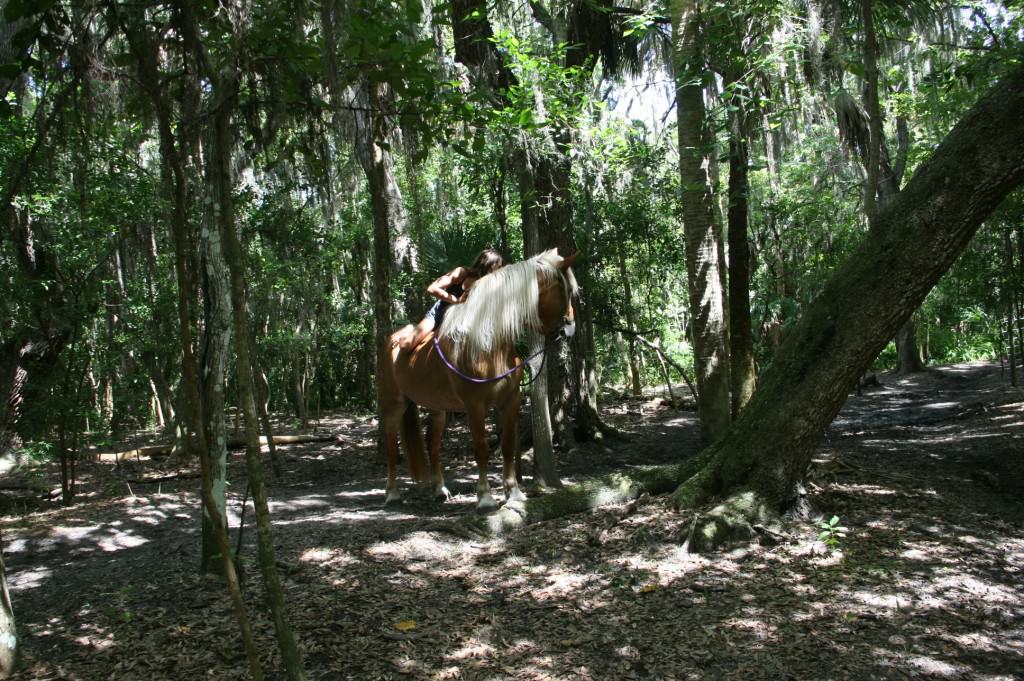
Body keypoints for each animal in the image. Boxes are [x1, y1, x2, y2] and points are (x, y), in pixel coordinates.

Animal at [380, 248, 581, 509]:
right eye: (566, 292)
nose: (570, 328)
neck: (489, 346)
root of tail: (392, 340)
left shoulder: (510, 401)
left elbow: (508, 445)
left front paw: (514, 493)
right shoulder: (474, 406)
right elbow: (481, 448)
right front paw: (485, 497)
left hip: (438, 408)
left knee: (432, 444)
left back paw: (439, 489)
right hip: (394, 405)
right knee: (391, 446)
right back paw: (392, 493)